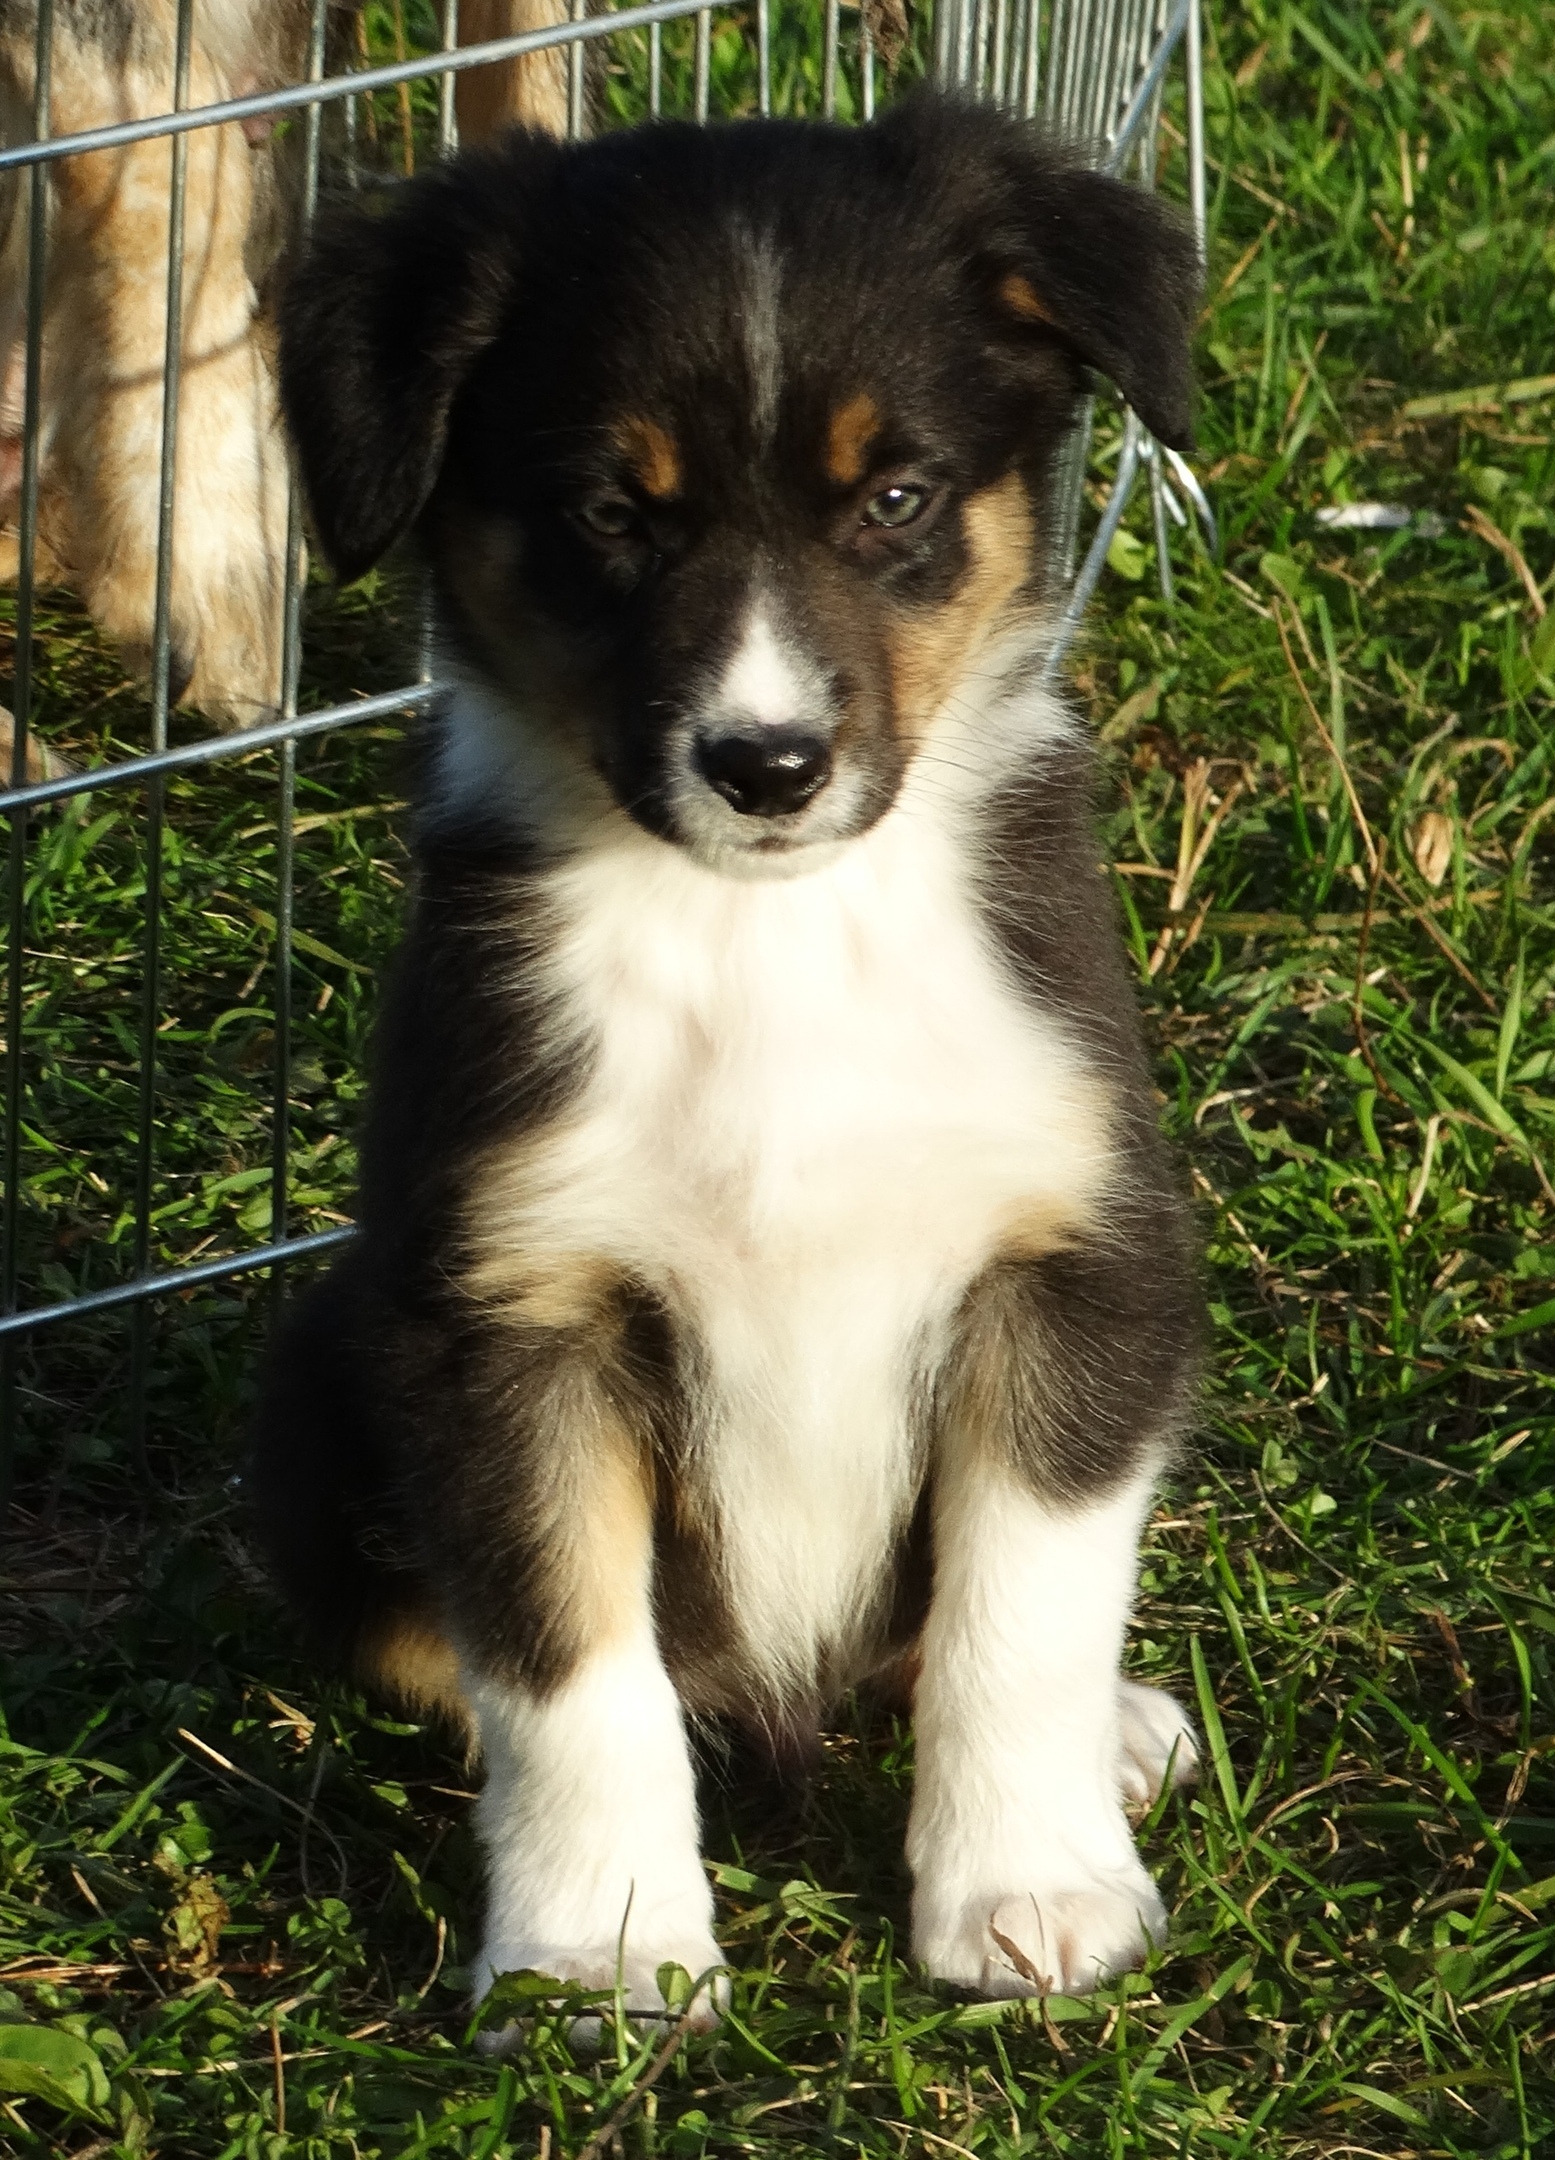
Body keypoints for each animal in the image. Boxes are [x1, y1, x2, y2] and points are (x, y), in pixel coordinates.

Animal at [251, 97, 1200, 2021]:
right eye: (611, 513)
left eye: (895, 499)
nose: (763, 764)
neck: (769, 940)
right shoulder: (501, 1314)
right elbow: (563, 1656)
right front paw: (599, 1948)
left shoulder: (1074, 1254)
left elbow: (1020, 1610)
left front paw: (1029, 1892)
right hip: (323, 1387)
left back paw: (1116, 1737)